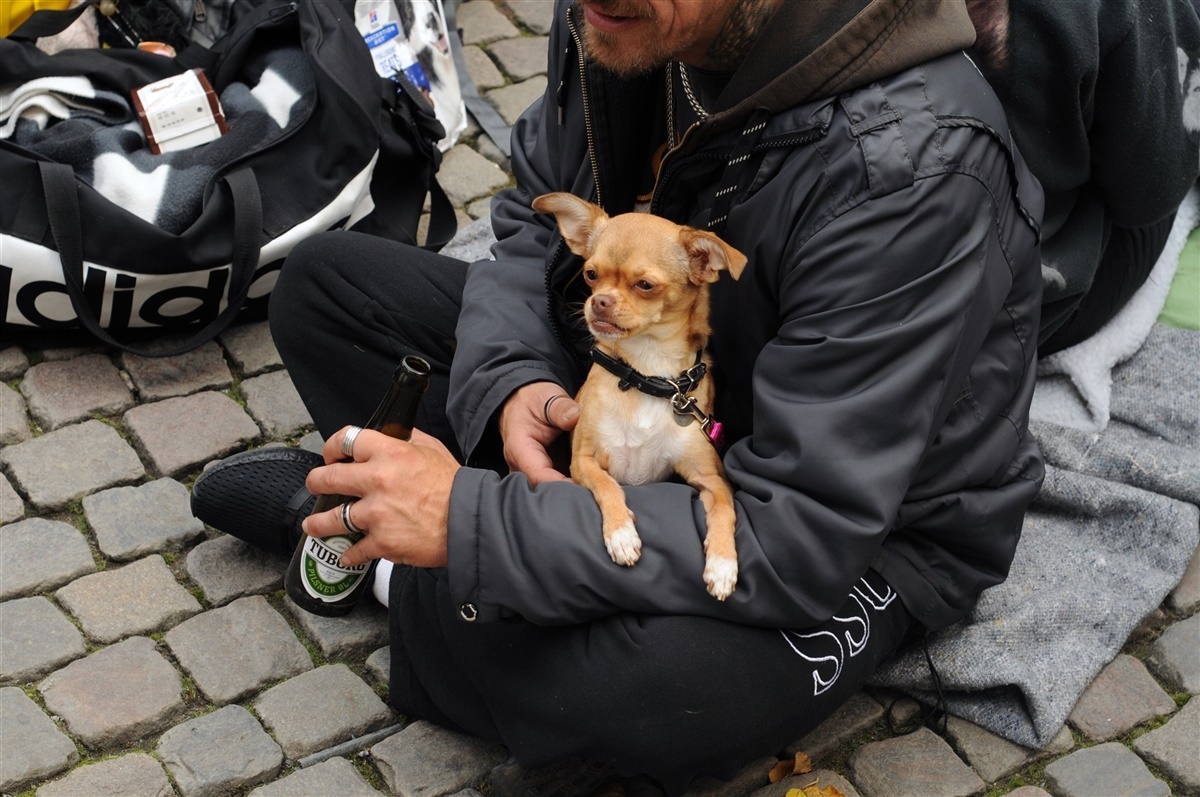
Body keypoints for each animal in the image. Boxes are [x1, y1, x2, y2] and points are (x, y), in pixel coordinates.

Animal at [532, 193, 744, 600]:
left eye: (645, 284)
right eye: (590, 275)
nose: (599, 302)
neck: (648, 373)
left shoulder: (710, 477)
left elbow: (726, 508)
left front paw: (723, 564)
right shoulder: (584, 461)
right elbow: (608, 486)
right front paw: (621, 534)